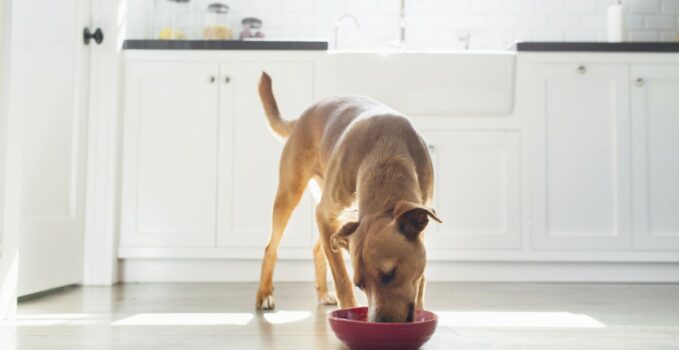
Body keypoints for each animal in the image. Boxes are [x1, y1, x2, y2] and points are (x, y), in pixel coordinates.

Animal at [255, 72, 440, 322]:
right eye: (360, 285)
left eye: (390, 274)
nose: (378, 323)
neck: (387, 157)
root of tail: (303, 115)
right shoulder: (325, 216)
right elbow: (341, 278)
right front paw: (347, 311)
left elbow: (420, 279)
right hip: (290, 195)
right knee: (271, 248)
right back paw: (265, 294)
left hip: (338, 219)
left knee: (318, 249)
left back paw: (323, 293)